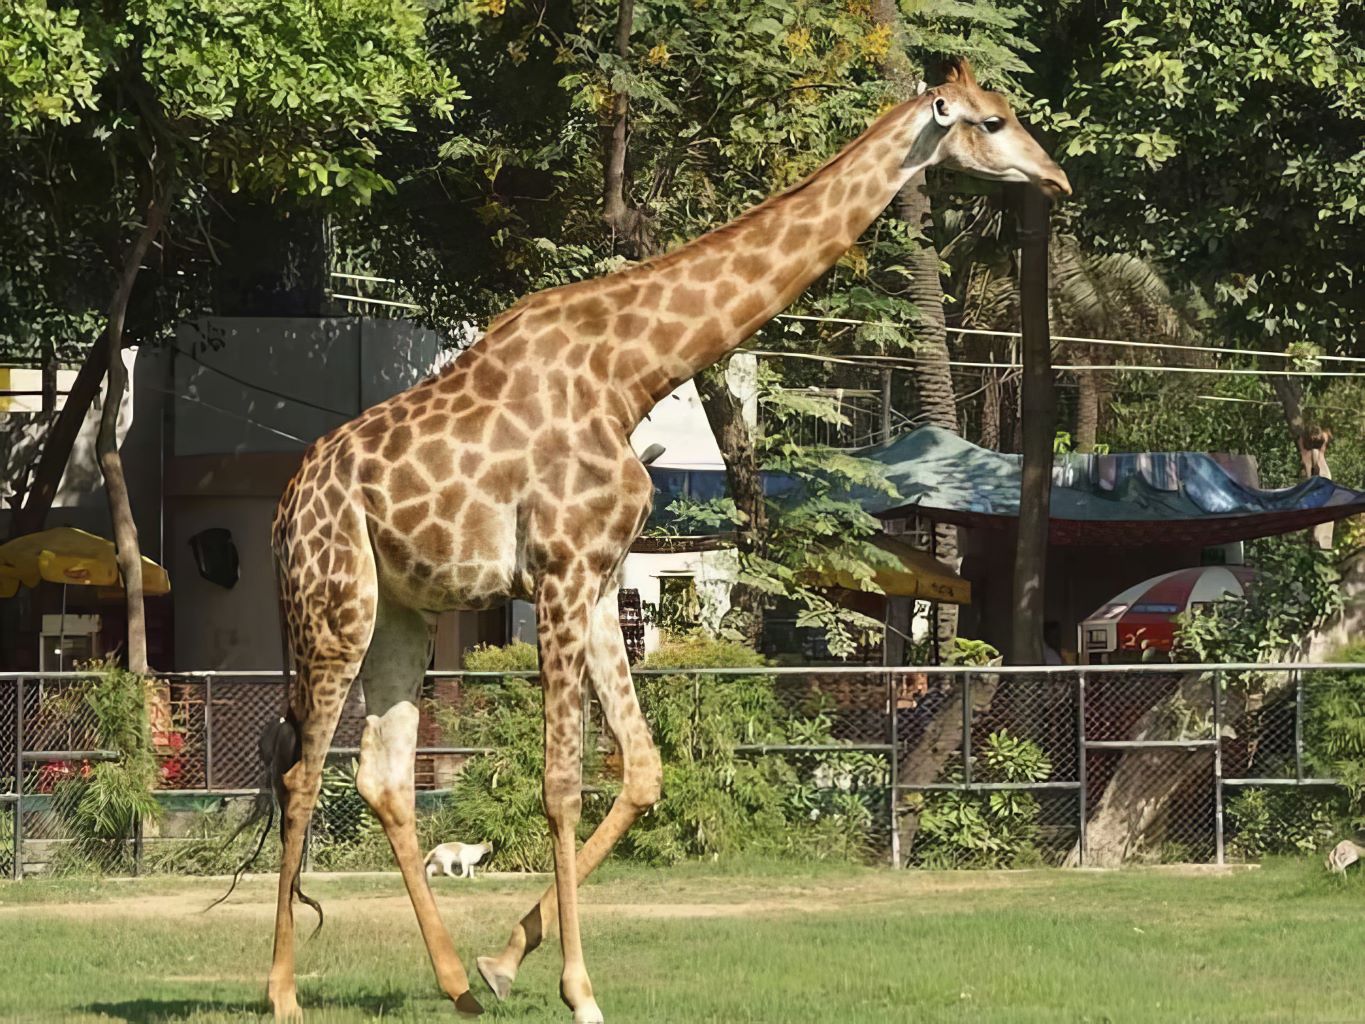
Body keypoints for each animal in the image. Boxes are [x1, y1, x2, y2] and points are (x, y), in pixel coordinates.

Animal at [268, 58, 1064, 1024]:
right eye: (991, 122)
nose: (1057, 179)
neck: (630, 373)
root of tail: (286, 505)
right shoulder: (561, 571)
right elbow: (561, 781)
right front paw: (577, 990)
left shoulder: (600, 577)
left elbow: (643, 771)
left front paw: (505, 962)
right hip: (333, 601)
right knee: (302, 775)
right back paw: (282, 994)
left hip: (404, 612)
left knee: (382, 778)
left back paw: (456, 983)